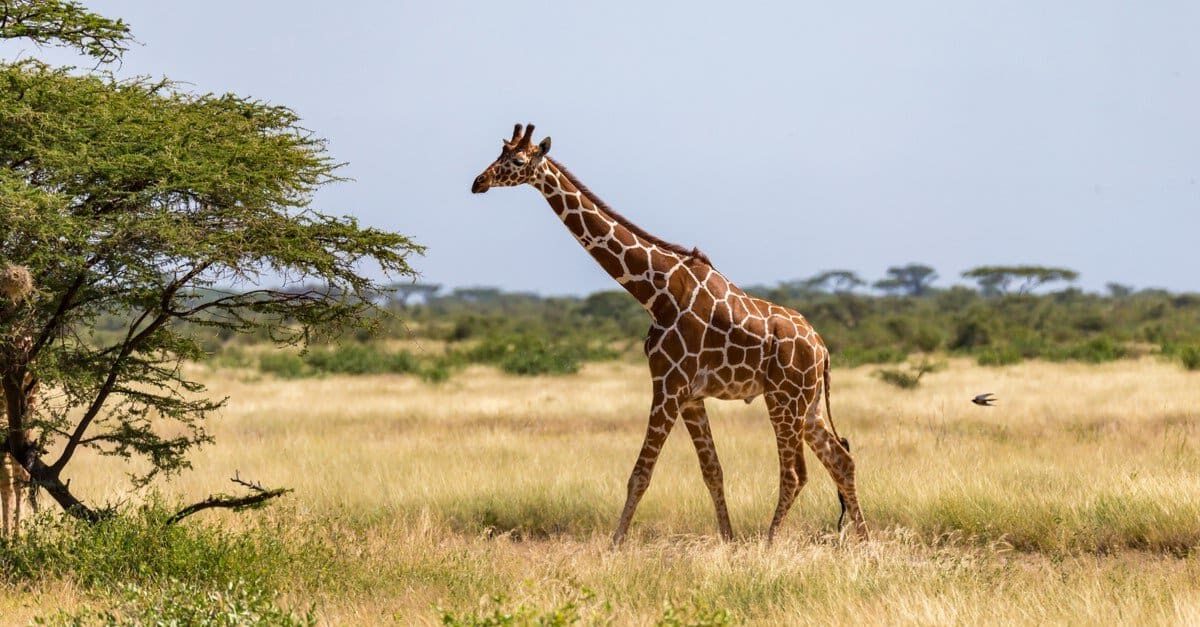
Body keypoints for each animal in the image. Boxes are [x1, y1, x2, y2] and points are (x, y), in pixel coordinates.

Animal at [472, 124, 869, 544]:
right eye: (499, 154)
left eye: (516, 161)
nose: (478, 182)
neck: (655, 291)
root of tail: (823, 349)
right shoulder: (690, 395)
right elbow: (712, 471)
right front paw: (728, 541)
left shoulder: (667, 384)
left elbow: (640, 474)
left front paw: (615, 545)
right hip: (807, 404)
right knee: (841, 459)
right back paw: (864, 541)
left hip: (783, 399)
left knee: (795, 473)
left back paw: (769, 542)